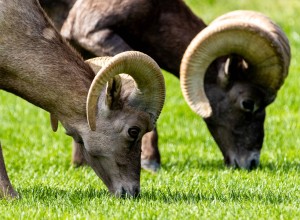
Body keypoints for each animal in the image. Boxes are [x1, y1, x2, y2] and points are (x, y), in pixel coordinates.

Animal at [40, 0, 290, 170]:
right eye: (248, 103)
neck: (155, 13)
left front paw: (79, 163)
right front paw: (151, 162)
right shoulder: (95, 33)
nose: (251, 162)